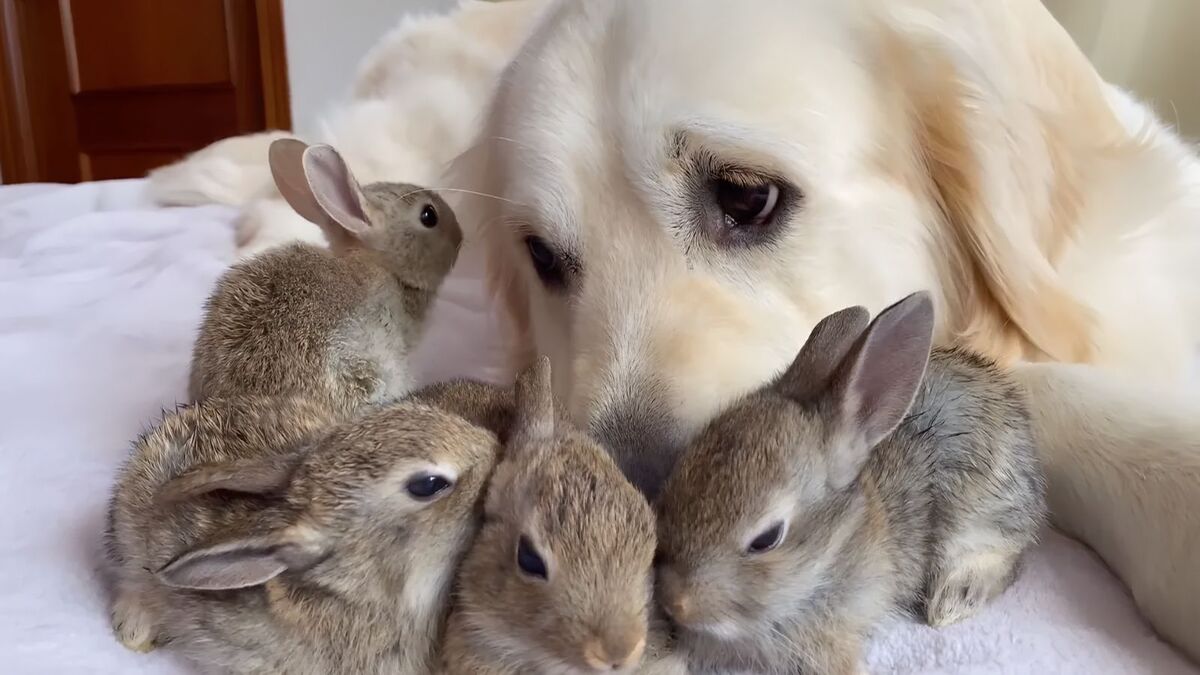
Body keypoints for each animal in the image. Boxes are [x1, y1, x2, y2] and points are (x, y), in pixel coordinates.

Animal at [652, 290, 1046, 672]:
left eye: (766, 539)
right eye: (670, 492)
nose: (675, 602)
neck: (827, 558)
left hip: (980, 512)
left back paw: (952, 601)